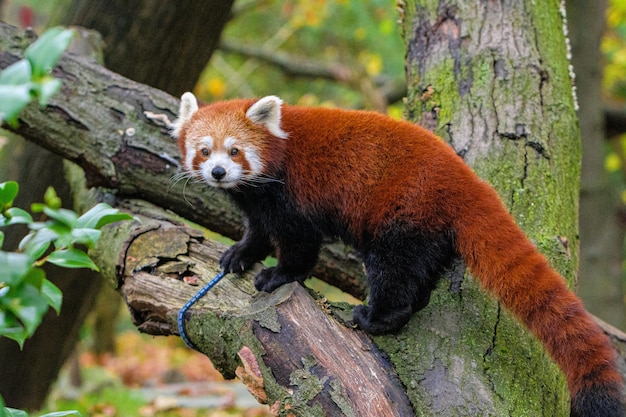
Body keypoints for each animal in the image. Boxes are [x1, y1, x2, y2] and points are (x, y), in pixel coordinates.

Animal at [172, 92, 624, 414]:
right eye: (203, 150)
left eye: (234, 150)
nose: (218, 172)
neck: (277, 157)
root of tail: (464, 178)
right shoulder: (260, 202)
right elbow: (260, 231)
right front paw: (240, 255)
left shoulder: (295, 195)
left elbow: (300, 244)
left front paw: (279, 276)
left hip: (403, 210)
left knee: (394, 268)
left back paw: (377, 317)